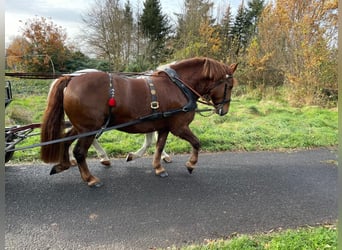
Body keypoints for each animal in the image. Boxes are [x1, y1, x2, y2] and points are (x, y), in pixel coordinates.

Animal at [40, 56, 238, 186]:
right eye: (230, 85)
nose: (224, 110)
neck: (178, 86)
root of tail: (70, 78)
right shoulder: (179, 127)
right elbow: (196, 142)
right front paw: (190, 164)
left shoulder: (163, 126)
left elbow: (158, 146)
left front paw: (158, 167)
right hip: (90, 127)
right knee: (80, 152)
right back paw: (90, 178)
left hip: (81, 126)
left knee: (66, 140)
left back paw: (64, 164)